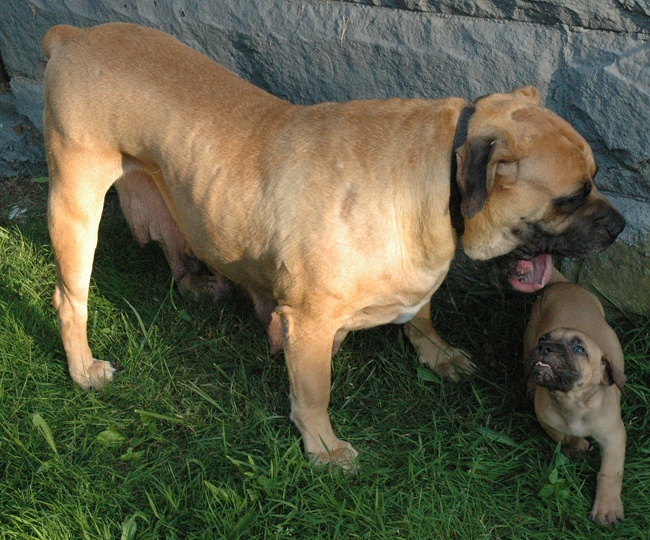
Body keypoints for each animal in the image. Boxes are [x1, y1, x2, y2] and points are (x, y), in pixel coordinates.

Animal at [41, 22, 624, 468]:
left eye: (596, 176)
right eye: (572, 197)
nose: (619, 227)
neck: (440, 179)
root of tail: (72, 36)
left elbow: (422, 314)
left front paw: (436, 354)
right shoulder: (310, 322)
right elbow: (315, 390)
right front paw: (323, 447)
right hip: (76, 208)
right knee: (69, 299)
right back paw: (84, 369)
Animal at [520, 268, 624, 524]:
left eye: (579, 350)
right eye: (544, 339)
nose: (545, 347)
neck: (573, 402)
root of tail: (563, 285)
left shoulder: (614, 437)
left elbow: (609, 473)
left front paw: (607, 508)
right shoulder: (548, 420)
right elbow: (563, 436)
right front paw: (577, 446)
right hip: (528, 338)